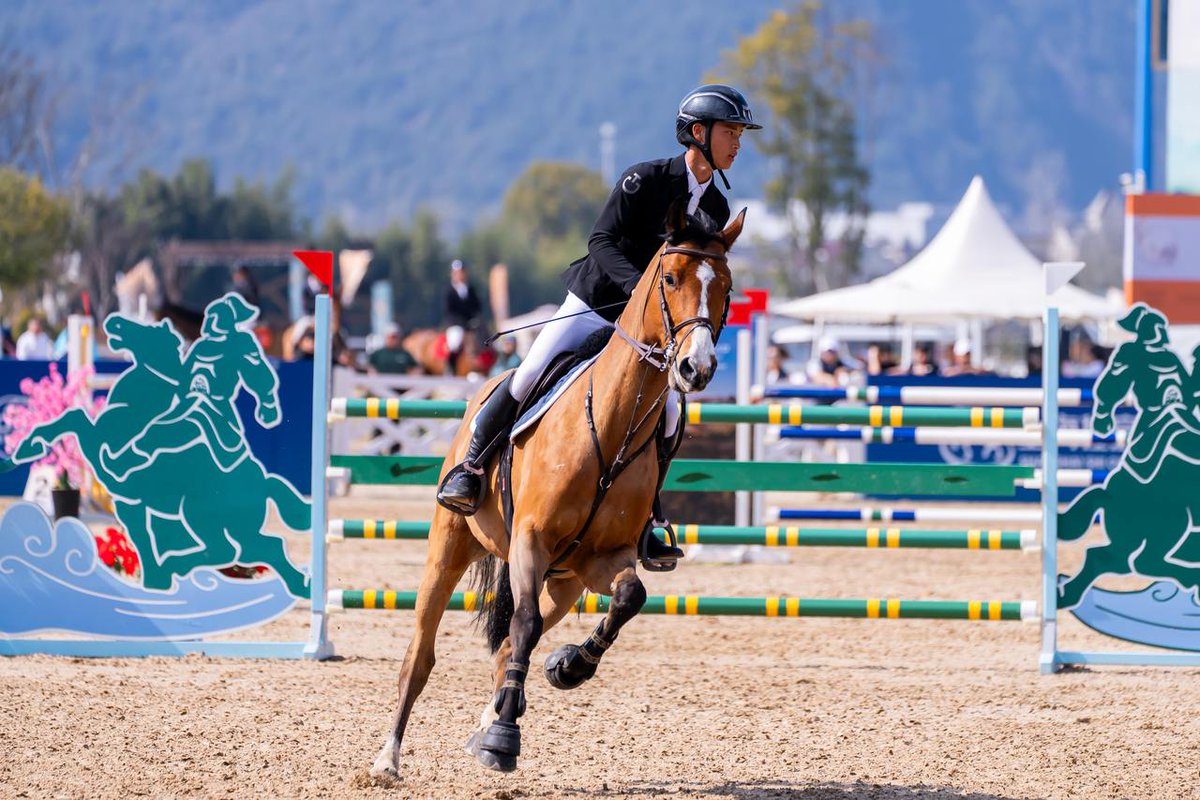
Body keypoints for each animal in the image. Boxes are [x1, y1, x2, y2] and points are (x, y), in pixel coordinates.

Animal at [370, 204, 744, 779]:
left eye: (725, 286)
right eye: (671, 278)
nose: (694, 369)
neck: (611, 426)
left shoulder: (605, 557)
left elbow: (628, 598)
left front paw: (568, 667)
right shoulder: (531, 539)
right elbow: (523, 624)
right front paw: (505, 741)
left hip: (564, 581)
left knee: (508, 646)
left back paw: (493, 716)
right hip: (451, 544)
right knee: (423, 653)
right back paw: (390, 757)